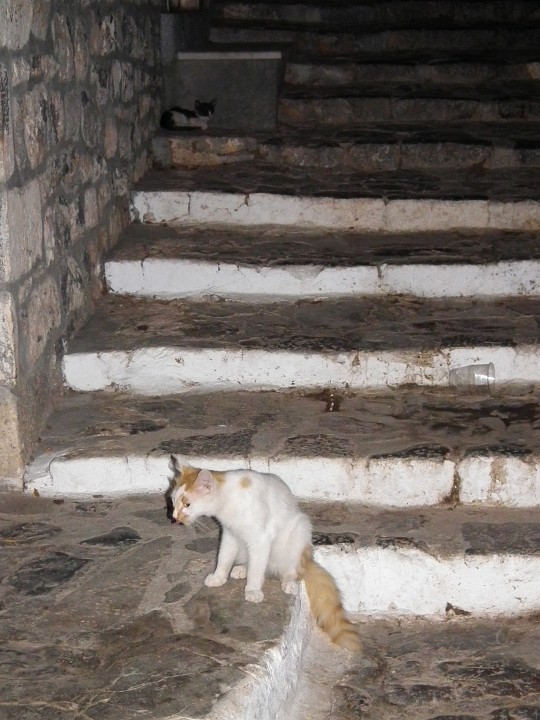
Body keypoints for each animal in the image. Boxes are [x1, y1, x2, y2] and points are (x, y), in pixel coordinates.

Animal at [168, 456, 361, 652]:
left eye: (187, 504)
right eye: (173, 501)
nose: (174, 518)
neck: (228, 500)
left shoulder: (260, 538)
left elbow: (256, 570)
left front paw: (253, 589)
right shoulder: (230, 535)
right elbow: (223, 558)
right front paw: (218, 577)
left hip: (299, 530)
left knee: (289, 570)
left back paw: (287, 582)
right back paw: (241, 569)